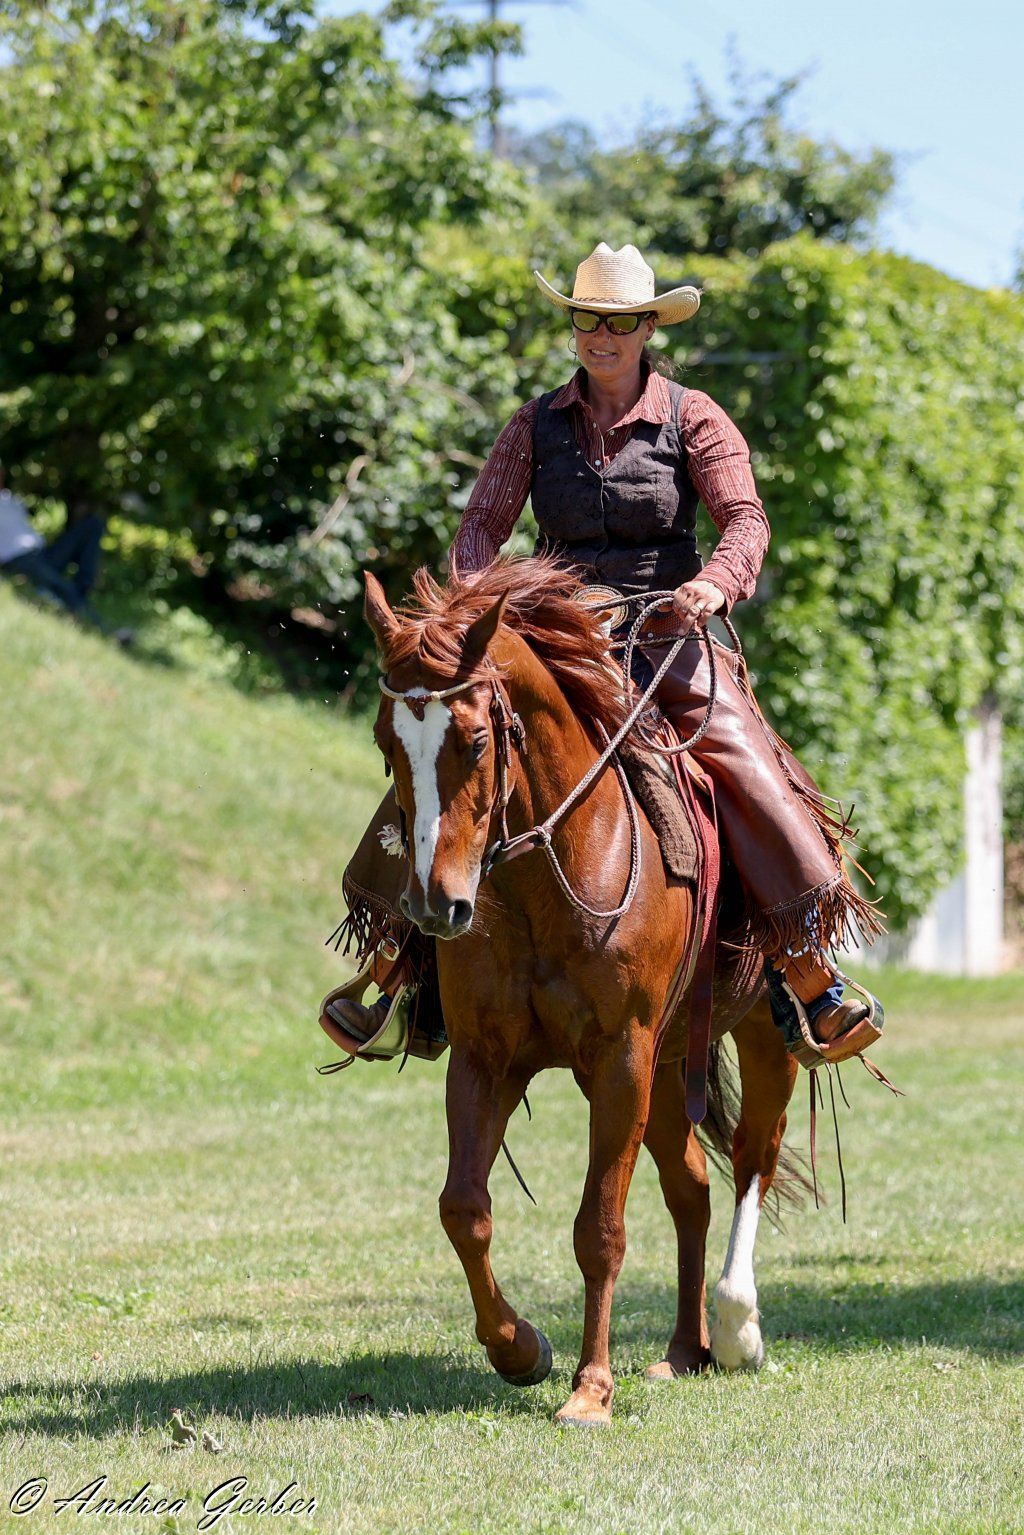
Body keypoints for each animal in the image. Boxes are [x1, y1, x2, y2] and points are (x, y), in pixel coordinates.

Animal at [361, 553, 802, 1426]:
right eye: (386, 740)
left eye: (475, 737)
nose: (433, 904)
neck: (551, 869)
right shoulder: (486, 1057)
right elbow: (463, 1208)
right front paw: (519, 1348)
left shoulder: (620, 1057)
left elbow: (599, 1225)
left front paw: (590, 1387)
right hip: (668, 1065)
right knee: (693, 1186)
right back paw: (683, 1349)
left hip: (762, 1034)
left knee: (752, 1157)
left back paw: (738, 1327)